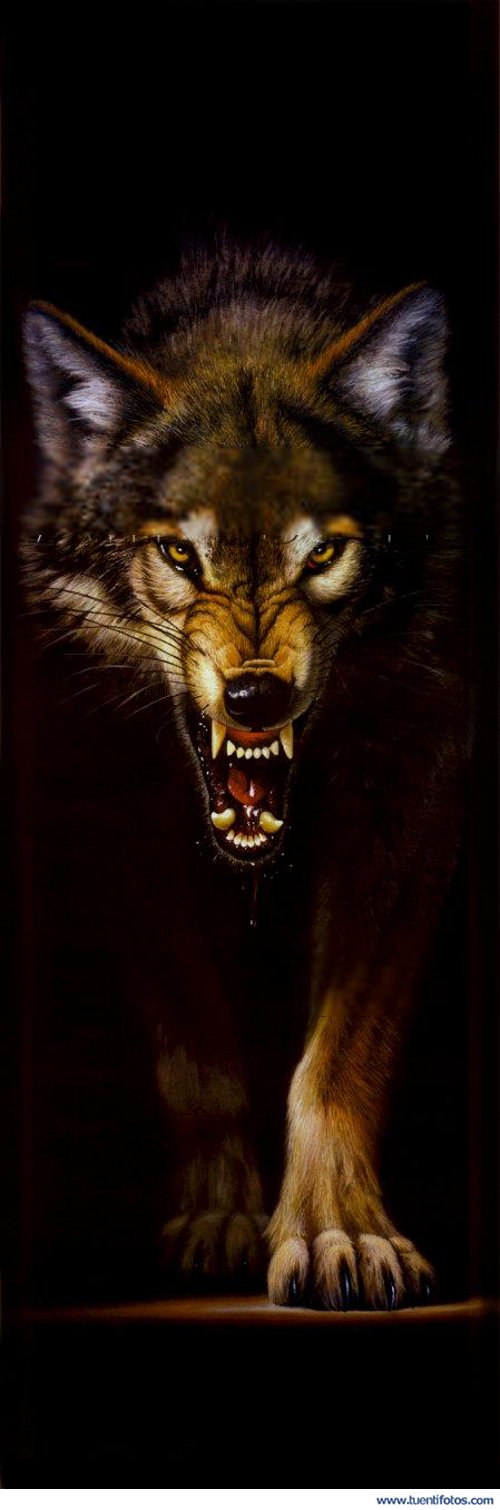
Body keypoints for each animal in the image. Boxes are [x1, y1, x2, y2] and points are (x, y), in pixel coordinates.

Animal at [23, 241, 466, 1308]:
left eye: (327, 552)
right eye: (182, 553)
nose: (258, 698)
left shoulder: (420, 782)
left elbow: (338, 1055)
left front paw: (342, 1234)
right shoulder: (113, 804)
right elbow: (198, 1047)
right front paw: (221, 1219)